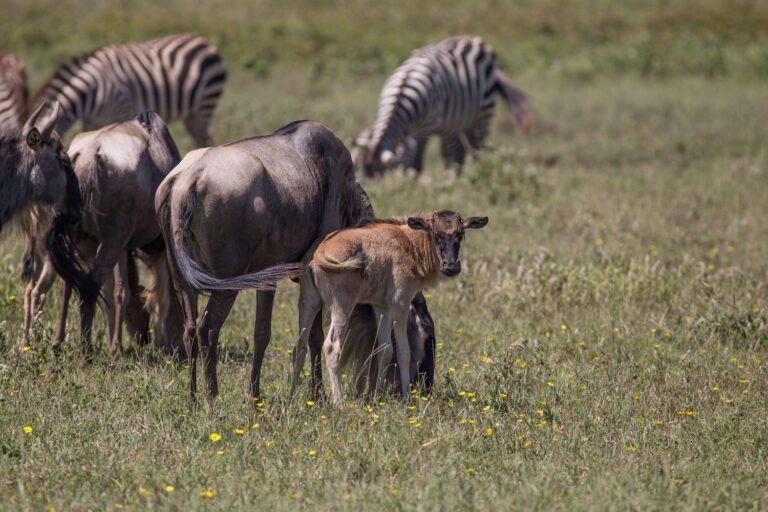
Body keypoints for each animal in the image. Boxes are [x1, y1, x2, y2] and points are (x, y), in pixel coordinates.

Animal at [292, 210, 487, 403]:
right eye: (435, 234)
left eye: (460, 234)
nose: (451, 266)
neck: (407, 242)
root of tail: (318, 255)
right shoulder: (400, 303)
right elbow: (404, 351)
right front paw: (407, 397)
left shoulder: (381, 307)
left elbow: (384, 350)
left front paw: (378, 395)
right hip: (342, 306)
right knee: (332, 347)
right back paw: (339, 402)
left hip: (308, 302)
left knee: (300, 346)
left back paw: (291, 398)